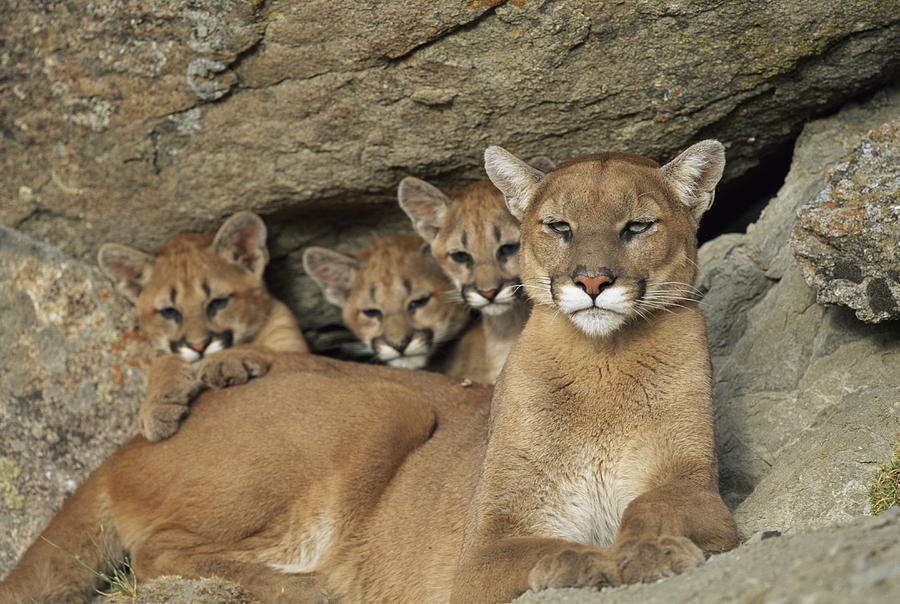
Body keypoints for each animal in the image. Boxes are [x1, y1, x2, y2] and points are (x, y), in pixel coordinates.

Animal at [98, 210, 308, 442]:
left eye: (218, 302)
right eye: (169, 312)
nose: (198, 346)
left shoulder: (295, 346)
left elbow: (260, 345)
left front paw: (225, 360)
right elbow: (162, 362)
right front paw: (157, 405)